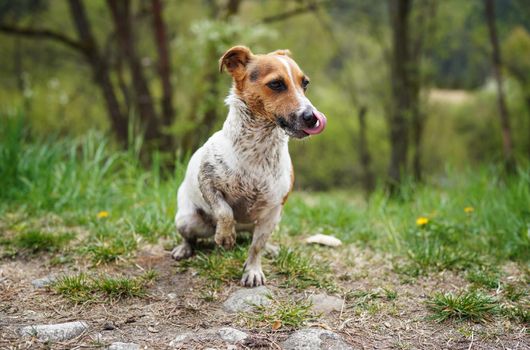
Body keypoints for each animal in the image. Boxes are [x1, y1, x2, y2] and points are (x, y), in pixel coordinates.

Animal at [171, 46, 324, 288]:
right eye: (276, 84)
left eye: (305, 83)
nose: (312, 118)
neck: (258, 150)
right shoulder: (207, 183)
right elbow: (224, 211)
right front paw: (225, 236)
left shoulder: (272, 212)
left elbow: (256, 247)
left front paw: (253, 270)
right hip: (187, 220)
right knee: (190, 237)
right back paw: (185, 248)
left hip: (267, 223)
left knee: (254, 239)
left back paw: (268, 247)